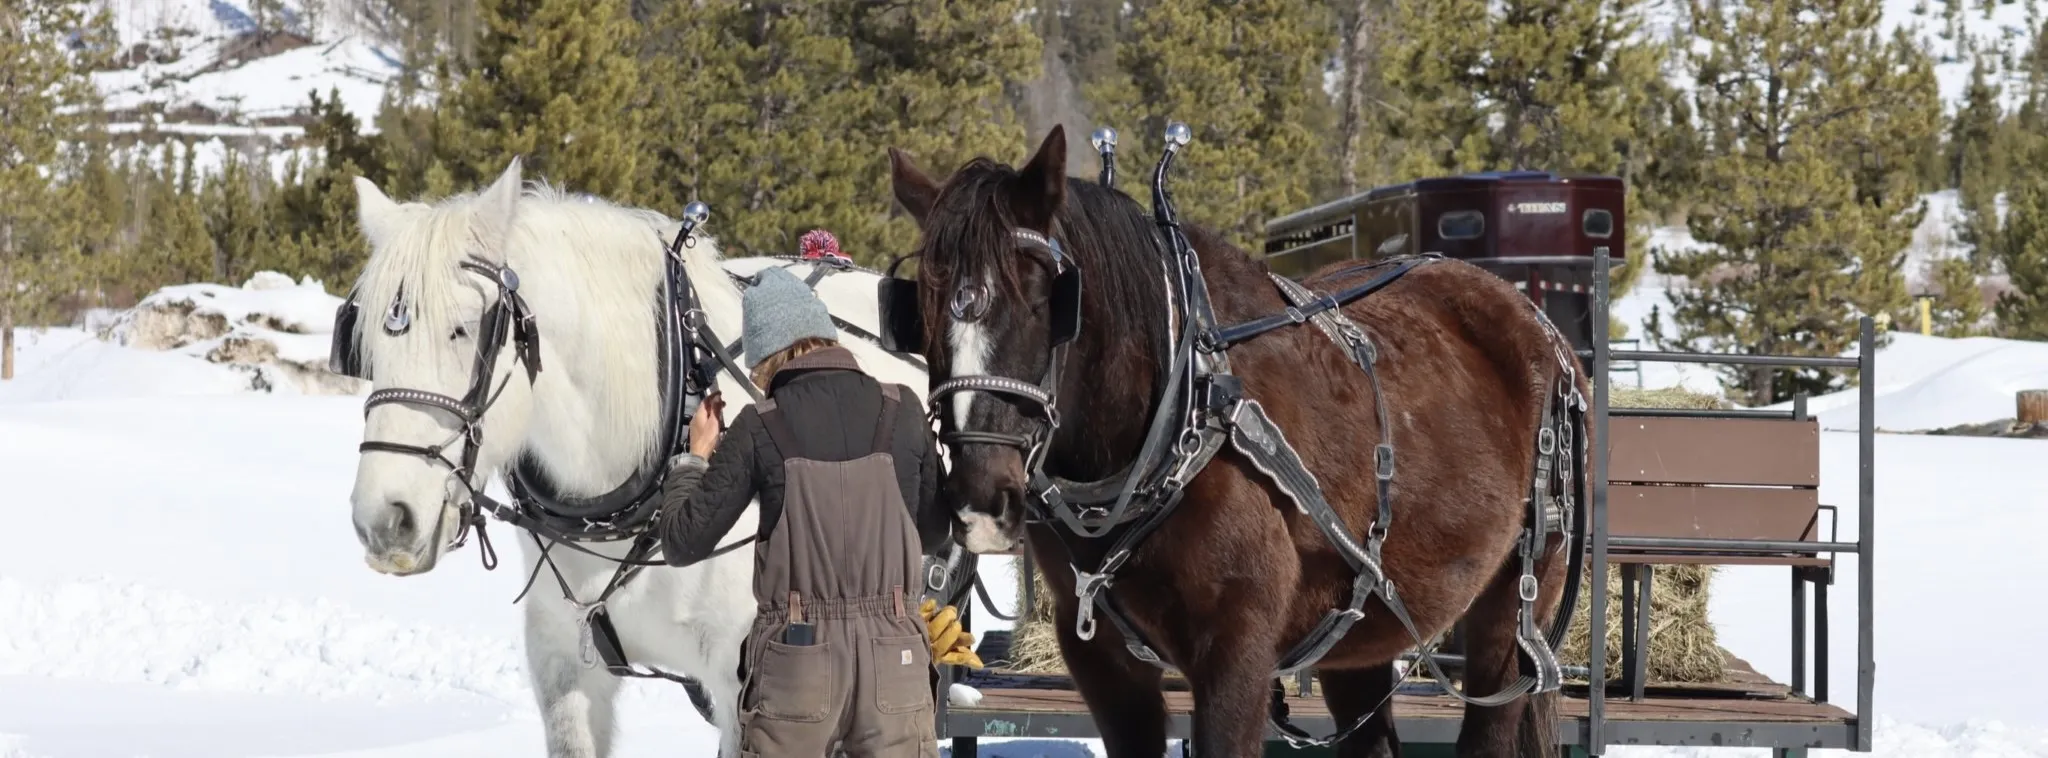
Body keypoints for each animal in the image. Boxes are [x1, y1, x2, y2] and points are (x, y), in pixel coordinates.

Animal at [878, 124, 1590, 757]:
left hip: (1513, 602)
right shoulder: (1103, 662)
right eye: (924, 309)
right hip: (1359, 625)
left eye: (1042, 301)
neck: (1178, 415)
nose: (980, 495)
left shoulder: (1236, 651)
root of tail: (1537, 325)